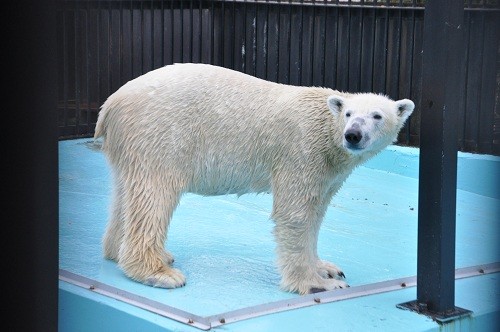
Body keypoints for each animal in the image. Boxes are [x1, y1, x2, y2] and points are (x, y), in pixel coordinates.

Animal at [94, 63, 414, 296]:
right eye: (348, 113)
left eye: (377, 116)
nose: (353, 135)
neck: (327, 131)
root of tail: (112, 103)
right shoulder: (301, 152)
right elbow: (295, 215)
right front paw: (318, 283)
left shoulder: (327, 170)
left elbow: (315, 214)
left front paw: (327, 267)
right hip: (160, 134)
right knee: (154, 196)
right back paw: (158, 272)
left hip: (131, 143)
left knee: (127, 193)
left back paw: (132, 253)